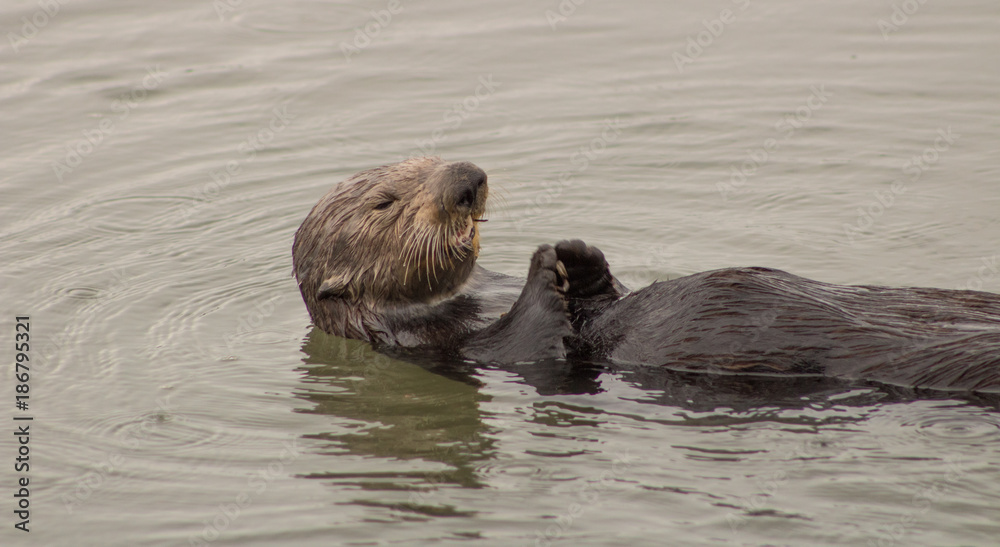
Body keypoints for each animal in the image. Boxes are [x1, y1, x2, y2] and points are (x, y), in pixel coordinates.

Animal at [292, 157, 1000, 392]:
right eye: (385, 202)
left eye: (430, 159)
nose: (469, 179)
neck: (467, 298)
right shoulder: (439, 347)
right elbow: (535, 343)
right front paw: (546, 270)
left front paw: (576, 253)